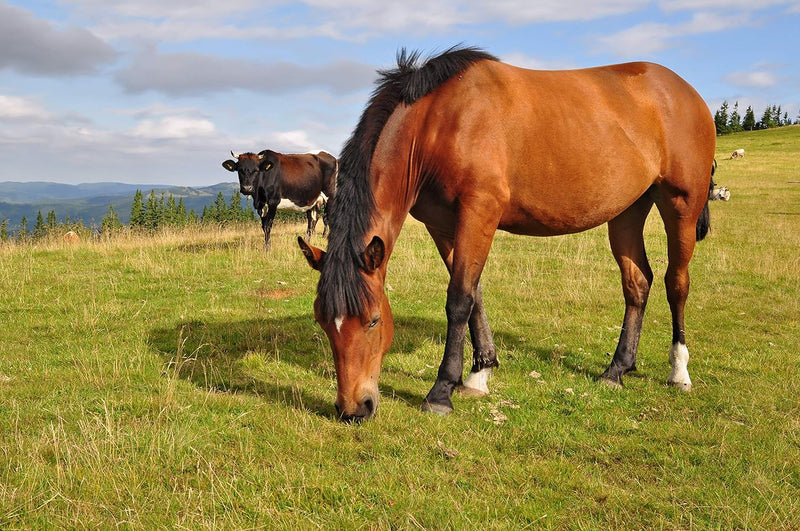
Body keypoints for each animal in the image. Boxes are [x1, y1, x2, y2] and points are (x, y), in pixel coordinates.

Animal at [296, 46, 716, 424]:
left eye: (373, 321)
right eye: (323, 321)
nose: (354, 409)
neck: (439, 122)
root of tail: (687, 92)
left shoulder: (479, 212)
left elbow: (459, 299)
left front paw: (441, 392)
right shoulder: (443, 224)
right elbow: (473, 294)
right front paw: (479, 373)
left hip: (680, 205)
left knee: (676, 283)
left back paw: (679, 371)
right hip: (627, 211)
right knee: (637, 283)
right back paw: (616, 370)